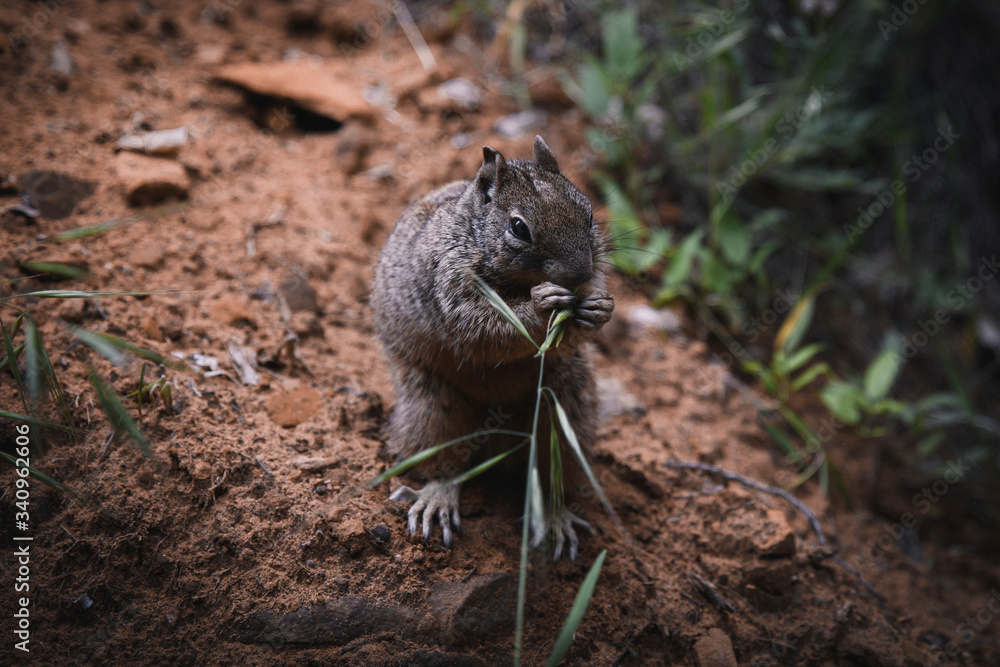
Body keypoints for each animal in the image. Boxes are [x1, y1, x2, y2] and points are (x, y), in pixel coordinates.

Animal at [372, 137, 612, 564]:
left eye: (587, 214)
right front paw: (542, 306)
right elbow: (488, 329)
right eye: (518, 228)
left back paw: (555, 517)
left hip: (567, 408)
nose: (579, 275)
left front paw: (598, 307)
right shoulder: (452, 286)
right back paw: (437, 499)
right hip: (431, 410)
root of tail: (496, 437)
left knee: (550, 471)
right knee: (446, 465)